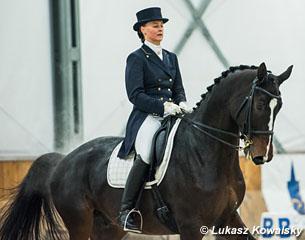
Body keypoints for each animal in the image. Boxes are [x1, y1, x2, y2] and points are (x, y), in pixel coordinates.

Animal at [0, 62, 292, 239]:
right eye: (260, 105)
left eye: (279, 107)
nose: (262, 155)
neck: (207, 154)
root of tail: (64, 161)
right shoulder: (191, 225)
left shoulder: (228, 218)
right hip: (79, 222)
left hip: (108, 227)